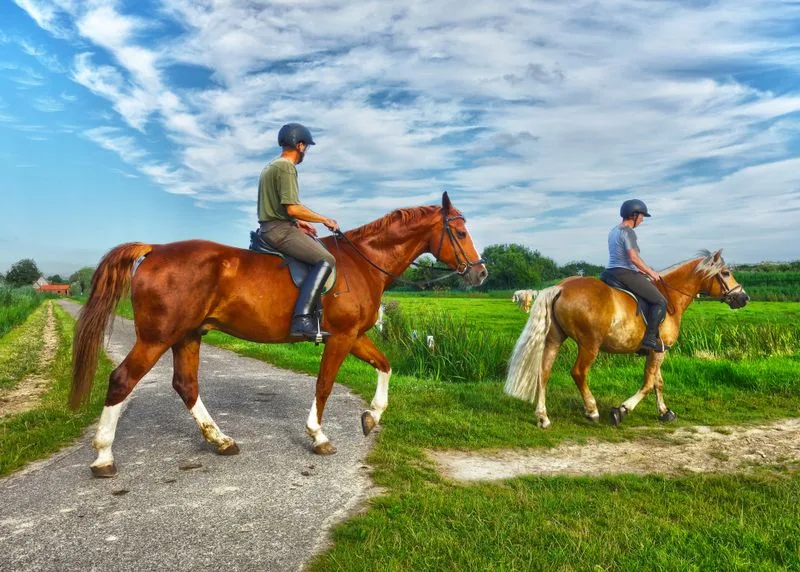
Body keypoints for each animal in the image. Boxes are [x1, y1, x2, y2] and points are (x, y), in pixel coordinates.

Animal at [70, 192, 487, 477]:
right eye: (460, 231)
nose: (480, 273)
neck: (363, 264)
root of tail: (154, 250)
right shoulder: (341, 337)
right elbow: (324, 384)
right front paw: (318, 436)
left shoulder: (354, 336)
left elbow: (385, 366)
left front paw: (372, 416)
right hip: (157, 338)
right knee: (122, 380)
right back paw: (104, 456)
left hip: (188, 335)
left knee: (186, 385)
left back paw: (221, 441)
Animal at [505, 250, 749, 428]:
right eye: (726, 273)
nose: (743, 298)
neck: (670, 298)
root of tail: (561, 287)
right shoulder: (659, 351)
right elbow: (648, 383)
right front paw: (621, 410)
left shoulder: (657, 351)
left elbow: (658, 382)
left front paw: (664, 412)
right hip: (589, 345)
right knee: (578, 372)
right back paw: (592, 411)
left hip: (555, 340)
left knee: (543, 372)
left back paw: (543, 417)